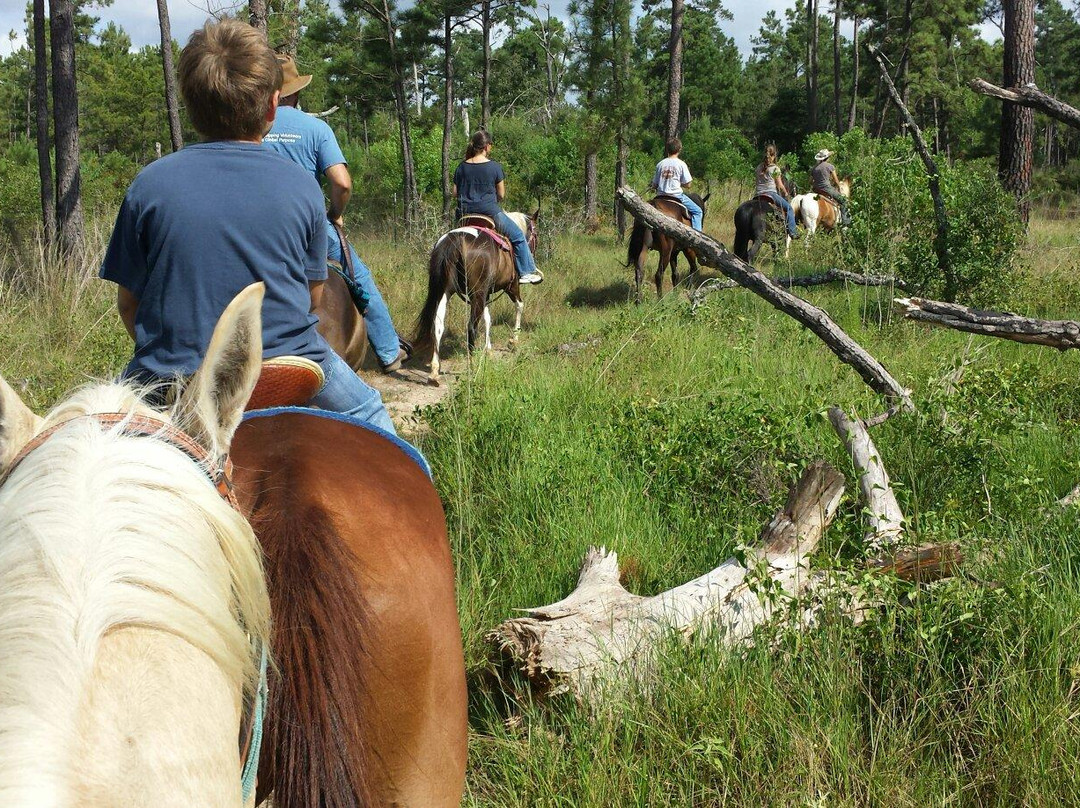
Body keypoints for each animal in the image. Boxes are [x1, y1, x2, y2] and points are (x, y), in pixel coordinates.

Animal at [414, 210, 539, 386]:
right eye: (536, 234)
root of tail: (455, 240)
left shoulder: (485, 294)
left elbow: (488, 319)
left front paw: (489, 350)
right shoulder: (511, 286)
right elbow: (519, 306)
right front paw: (513, 341)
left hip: (444, 292)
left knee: (438, 324)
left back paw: (434, 372)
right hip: (477, 293)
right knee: (471, 327)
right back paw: (472, 369)